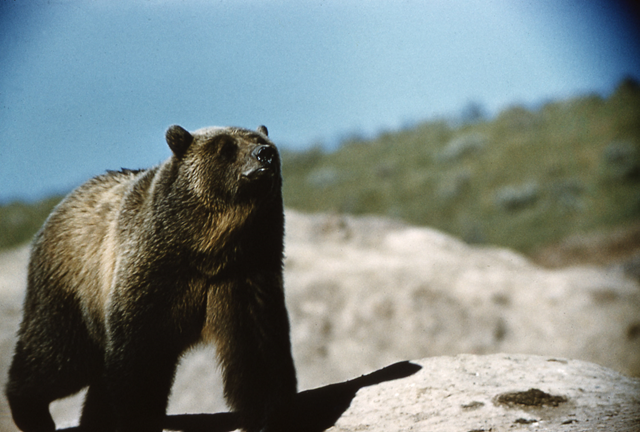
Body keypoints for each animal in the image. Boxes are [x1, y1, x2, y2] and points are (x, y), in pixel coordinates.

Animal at [5, 124, 297, 432]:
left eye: (263, 142)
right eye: (226, 148)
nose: (264, 154)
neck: (209, 250)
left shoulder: (246, 271)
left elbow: (258, 349)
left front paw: (271, 416)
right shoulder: (152, 276)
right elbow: (139, 358)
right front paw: (137, 416)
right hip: (72, 283)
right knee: (59, 356)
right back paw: (30, 411)